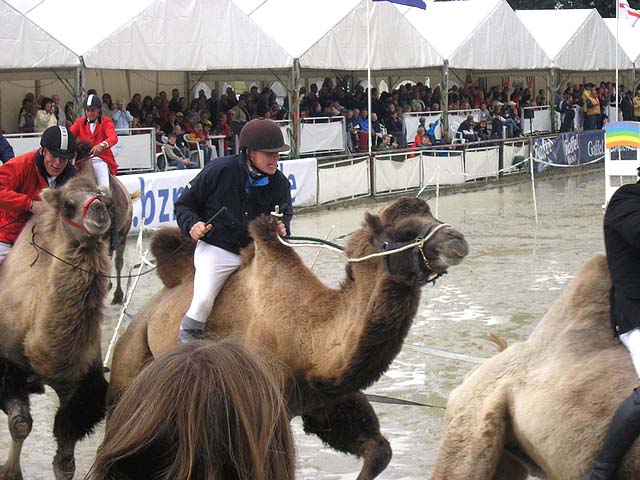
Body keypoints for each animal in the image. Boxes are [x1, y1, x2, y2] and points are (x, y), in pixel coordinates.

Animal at [0, 173, 112, 480]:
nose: (100, 211)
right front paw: (10, 472)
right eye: (68, 205)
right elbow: (21, 424)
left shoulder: (81, 386)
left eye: (104, 197)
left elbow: (65, 460)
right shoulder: (7, 370)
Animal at [109, 196, 470, 480]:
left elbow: (380, 451)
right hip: (130, 366)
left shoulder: (323, 398)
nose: (457, 239)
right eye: (403, 232)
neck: (306, 337)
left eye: (431, 215)